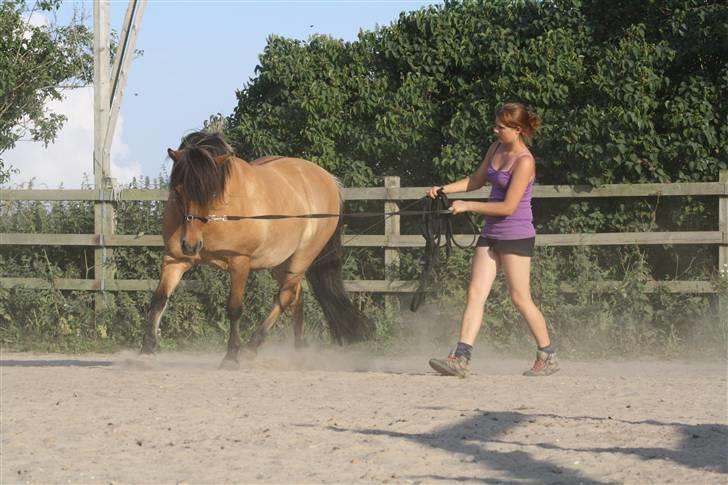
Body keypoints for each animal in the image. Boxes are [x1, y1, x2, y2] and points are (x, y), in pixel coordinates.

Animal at [139, 130, 372, 364]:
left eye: (211, 193)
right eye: (178, 190)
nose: (190, 244)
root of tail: (329, 181)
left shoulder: (240, 262)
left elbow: (234, 308)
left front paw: (232, 355)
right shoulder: (174, 259)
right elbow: (159, 299)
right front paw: (146, 350)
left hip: (303, 256)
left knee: (285, 296)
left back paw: (252, 346)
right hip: (281, 261)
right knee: (296, 295)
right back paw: (298, 348)